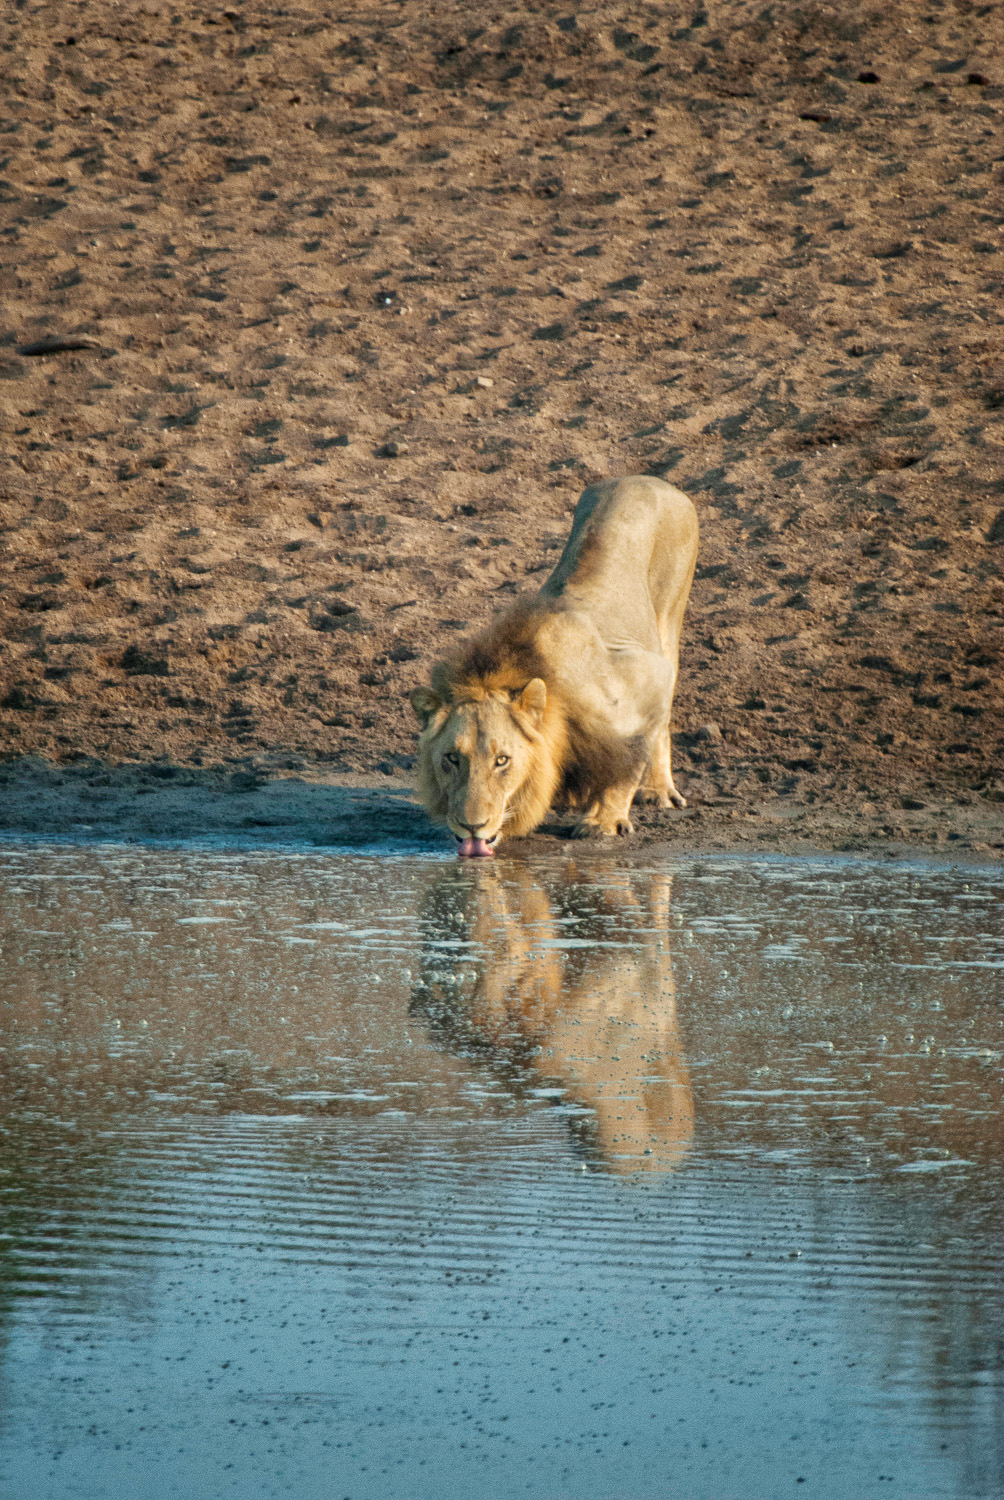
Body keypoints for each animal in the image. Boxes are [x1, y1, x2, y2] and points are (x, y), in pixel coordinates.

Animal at [410, 474, 698, 855]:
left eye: (502, 760)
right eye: (452, 759)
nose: (472, 826)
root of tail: (644, 478)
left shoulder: (647, 677)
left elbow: (628, 761)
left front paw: (603, 821)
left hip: (670, 616)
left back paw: (658, 790)